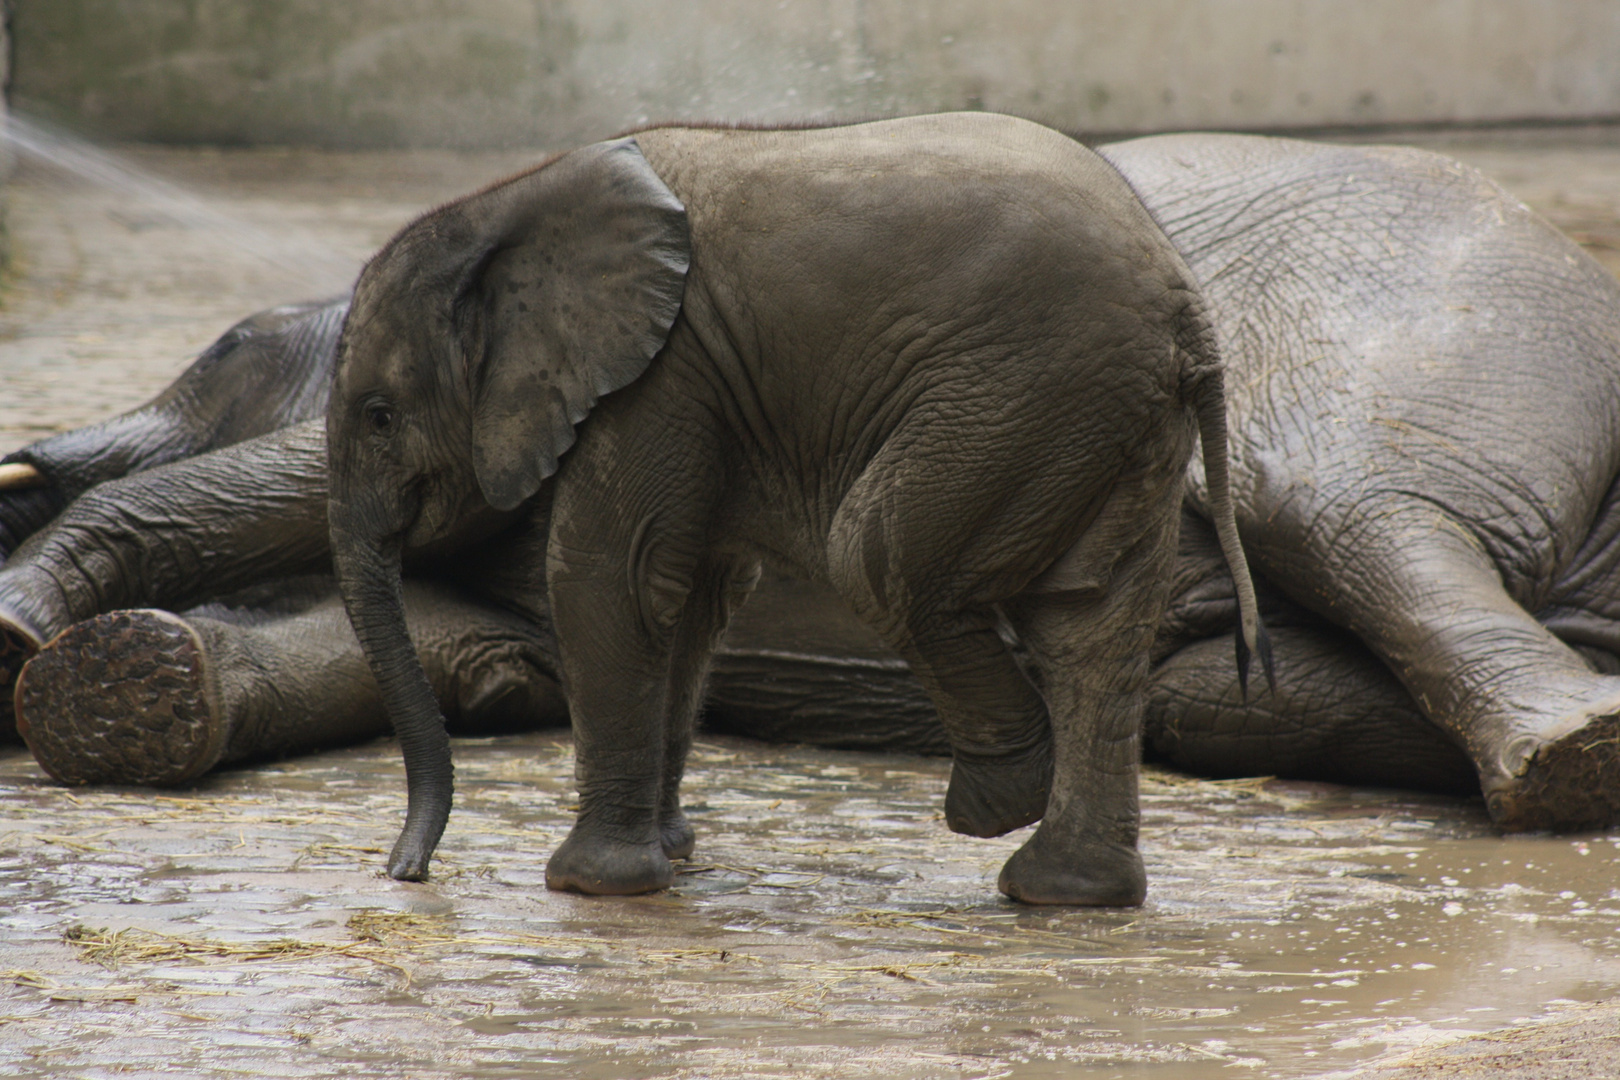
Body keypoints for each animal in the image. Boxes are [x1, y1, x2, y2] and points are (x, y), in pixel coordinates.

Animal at [0, 132, 1613, 841]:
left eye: (220, 351)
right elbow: (450, 647)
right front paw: (130, 687)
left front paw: (23, 634)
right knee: (1226, 694)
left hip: (1401, 332)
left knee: (1362, 514)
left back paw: (1564, 762)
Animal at [325, 111, 1263, 906]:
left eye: (379, 417)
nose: (405, 871)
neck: (505, 205)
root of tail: (1187, 304)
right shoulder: (701, 388)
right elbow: (691, 598)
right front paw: (673, 855)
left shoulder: (663, 372)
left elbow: (610, 575)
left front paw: (592, 885)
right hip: (1106, 416)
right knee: (1091, 623)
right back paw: (1067, 892)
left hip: (1024, 393)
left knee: (876, 554)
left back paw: (999, 805)